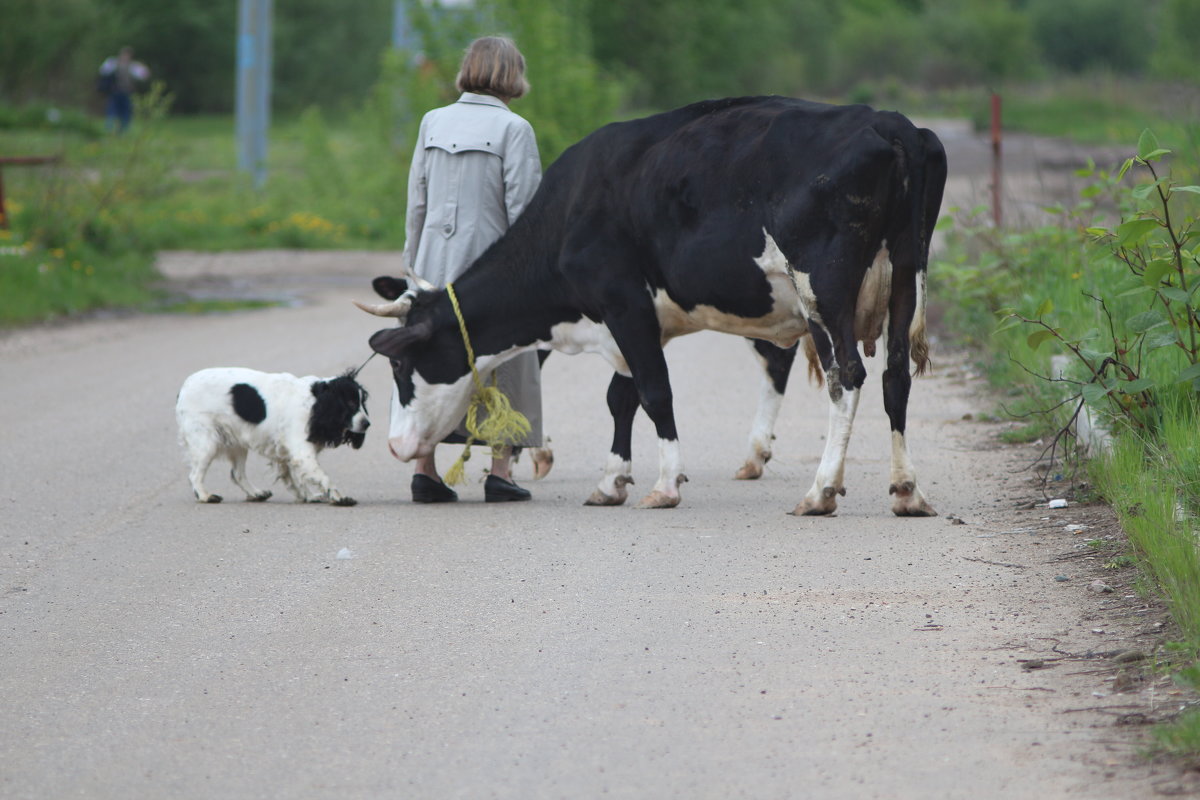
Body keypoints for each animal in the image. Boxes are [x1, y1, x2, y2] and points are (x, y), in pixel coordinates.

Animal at [175, 369, 367, 506]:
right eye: (350, 403)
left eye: (361, 402)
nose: (367, 423)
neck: (314, 401)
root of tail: (184, 387)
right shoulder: (301, 453)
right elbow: (322, 477)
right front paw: (339, 498)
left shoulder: (287, 453)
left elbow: (295, 479)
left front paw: (308, 496)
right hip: (206, 442)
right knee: (195, 475)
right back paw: (205, 496)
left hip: (237, 443)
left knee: (237, 474)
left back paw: (256, 493)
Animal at [360, 97, 940, 515]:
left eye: (400, 364)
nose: (394, 445)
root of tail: (888, 122)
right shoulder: (631, 322)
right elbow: (623, 397)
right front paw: (611, 480)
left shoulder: (623, 303)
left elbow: (656, 392)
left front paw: (664, 485)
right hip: (907, 275)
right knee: (894, 377)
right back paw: (906, 491)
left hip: (822, 288)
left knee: (848, 376)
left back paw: (820, 491)